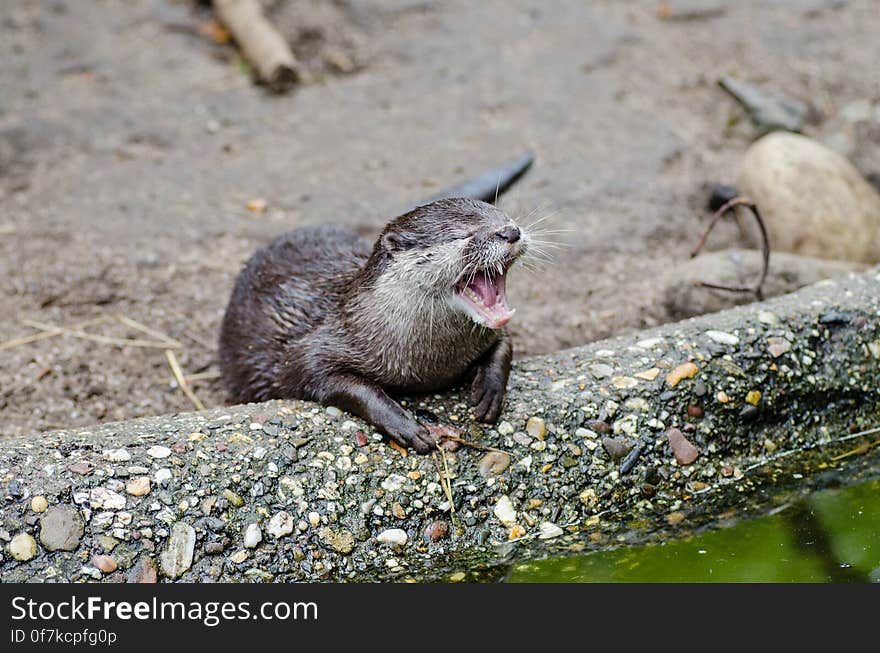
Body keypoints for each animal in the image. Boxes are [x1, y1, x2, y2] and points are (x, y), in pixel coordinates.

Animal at [219, 197, 528, 454]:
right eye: (462, 234)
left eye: (504, 216)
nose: (511, 232)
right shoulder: (313, 353)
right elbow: (347, 386)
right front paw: (406, 427)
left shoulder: (491, 333)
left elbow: (505, 345)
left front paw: (490, 390)